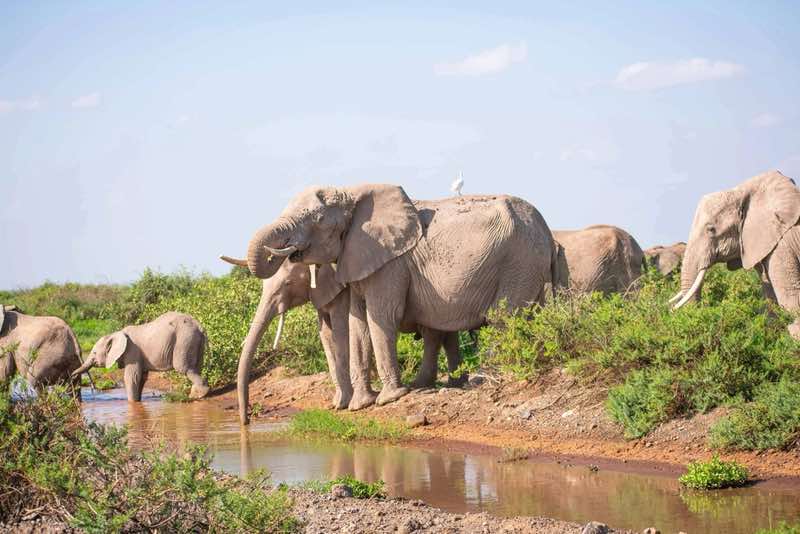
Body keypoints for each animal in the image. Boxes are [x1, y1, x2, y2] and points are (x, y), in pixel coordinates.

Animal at [72, 311, 209, 402]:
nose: (72, 376)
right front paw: (138, 401)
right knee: (198, 366)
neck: (116, 333)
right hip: (195, 340)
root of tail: (199, 326)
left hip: (184, 339)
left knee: (184, 368)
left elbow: (131, 377)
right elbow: (141, 377)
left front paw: (132, 404)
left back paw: (198, 395)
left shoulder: (132, 351)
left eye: (94, 353)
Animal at [218, 255, 466, 425]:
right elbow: (325, 335)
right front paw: (337, 404)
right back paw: (455, 383)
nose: (246, 421)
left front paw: (345, 403)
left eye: (287, 284)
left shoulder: (342, 292)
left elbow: (340, 330)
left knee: (433, 333)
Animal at [240, 185, 555, 412]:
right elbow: (358, 325)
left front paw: (388, 399)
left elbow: (380, 317)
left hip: (520, 261)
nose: (248, 417)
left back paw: (480, 380)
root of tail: (547, 229)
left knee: (503, 319)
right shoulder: (358, 260)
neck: (352, 194)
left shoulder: (390, 264)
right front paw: (360, 405)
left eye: (316, 219)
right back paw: (429, 384)